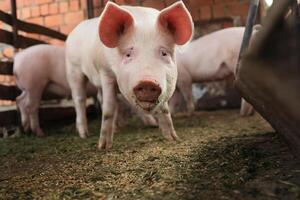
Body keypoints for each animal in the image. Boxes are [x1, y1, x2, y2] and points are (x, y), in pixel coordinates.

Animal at [65, 1, 195, 148]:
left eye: (164, 53)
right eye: (128, 54)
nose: (147, 82)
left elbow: (164, 109)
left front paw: (173, 139)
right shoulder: (106, 73)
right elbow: (109, 108)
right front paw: (103, 147)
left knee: (101, 97)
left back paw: (138, 125)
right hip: (73, 69)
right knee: (79, 98)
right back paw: (84, 135)